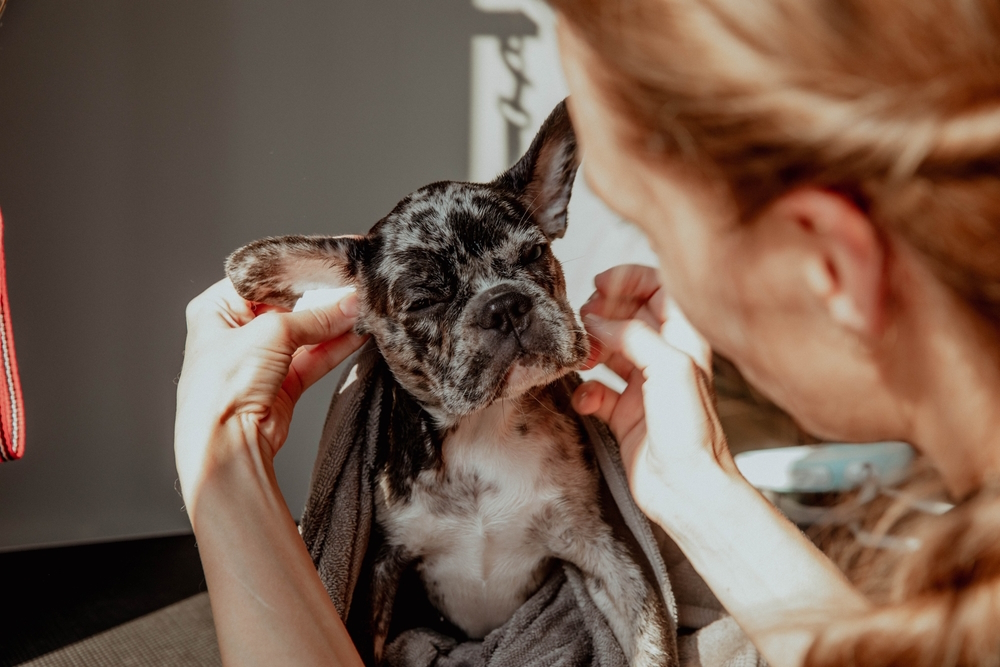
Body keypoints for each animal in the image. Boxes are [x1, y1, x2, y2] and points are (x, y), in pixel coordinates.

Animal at [226, 102, 664, 664]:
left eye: (533, 255)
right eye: (424, 301)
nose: (505, 303)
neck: (484, 426)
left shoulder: (600, 547)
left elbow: (649, 640)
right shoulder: (382, 571)